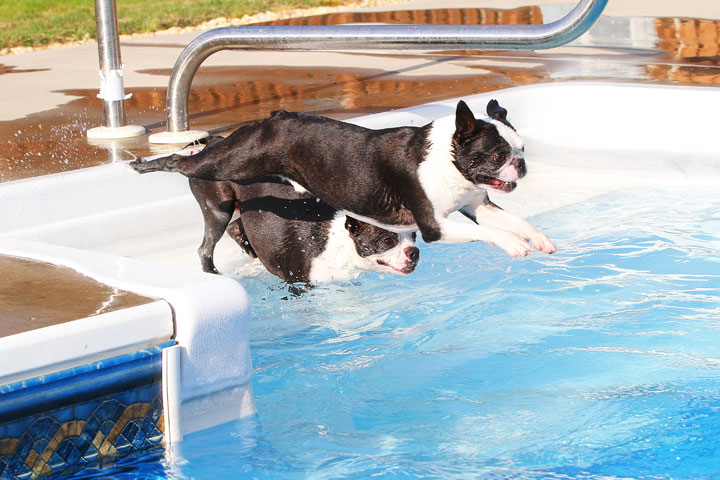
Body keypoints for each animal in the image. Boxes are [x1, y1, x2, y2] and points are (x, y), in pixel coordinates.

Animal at [131, 97, 556, 256]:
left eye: (521, 150)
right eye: (498, 155)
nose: (521, 165)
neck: (449, 161)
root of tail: (272, 119)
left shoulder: (477, 204)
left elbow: (513, 220)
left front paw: (538, 238)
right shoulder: (435, 226)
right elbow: (492, 232)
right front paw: (512, 244)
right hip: (231, 163)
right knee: (184, 162)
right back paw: (147, 163)